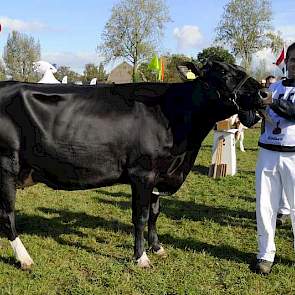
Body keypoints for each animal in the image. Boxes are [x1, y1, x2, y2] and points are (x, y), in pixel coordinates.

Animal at [0, 60, 266, 270]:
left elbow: (155, 214)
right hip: (6, 166)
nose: (264, 94)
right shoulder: (142, 173)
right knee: (7, 214)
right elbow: (140, 216)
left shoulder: (160, 173)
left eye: (239, 69)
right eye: (223, 73)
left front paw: (157, 247)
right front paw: (141, 257)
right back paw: (24, 258)